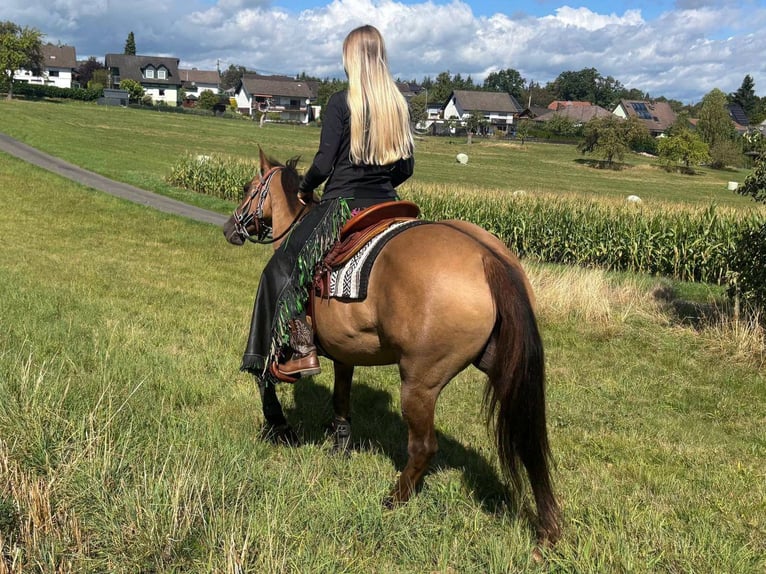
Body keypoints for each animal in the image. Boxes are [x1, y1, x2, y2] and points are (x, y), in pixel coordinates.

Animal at [222, 148, 561, 543]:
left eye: (249, 188)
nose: (230, 228)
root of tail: (486, 257)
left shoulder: (274, 346)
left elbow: (263, 379)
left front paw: (281, 428)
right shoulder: (345, 353)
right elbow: (341, 400)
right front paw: (339, 447)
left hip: (420, 382)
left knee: (424, 446)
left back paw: (394, 498)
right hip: (503, 367)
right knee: (528, 440)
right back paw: (548, 524)